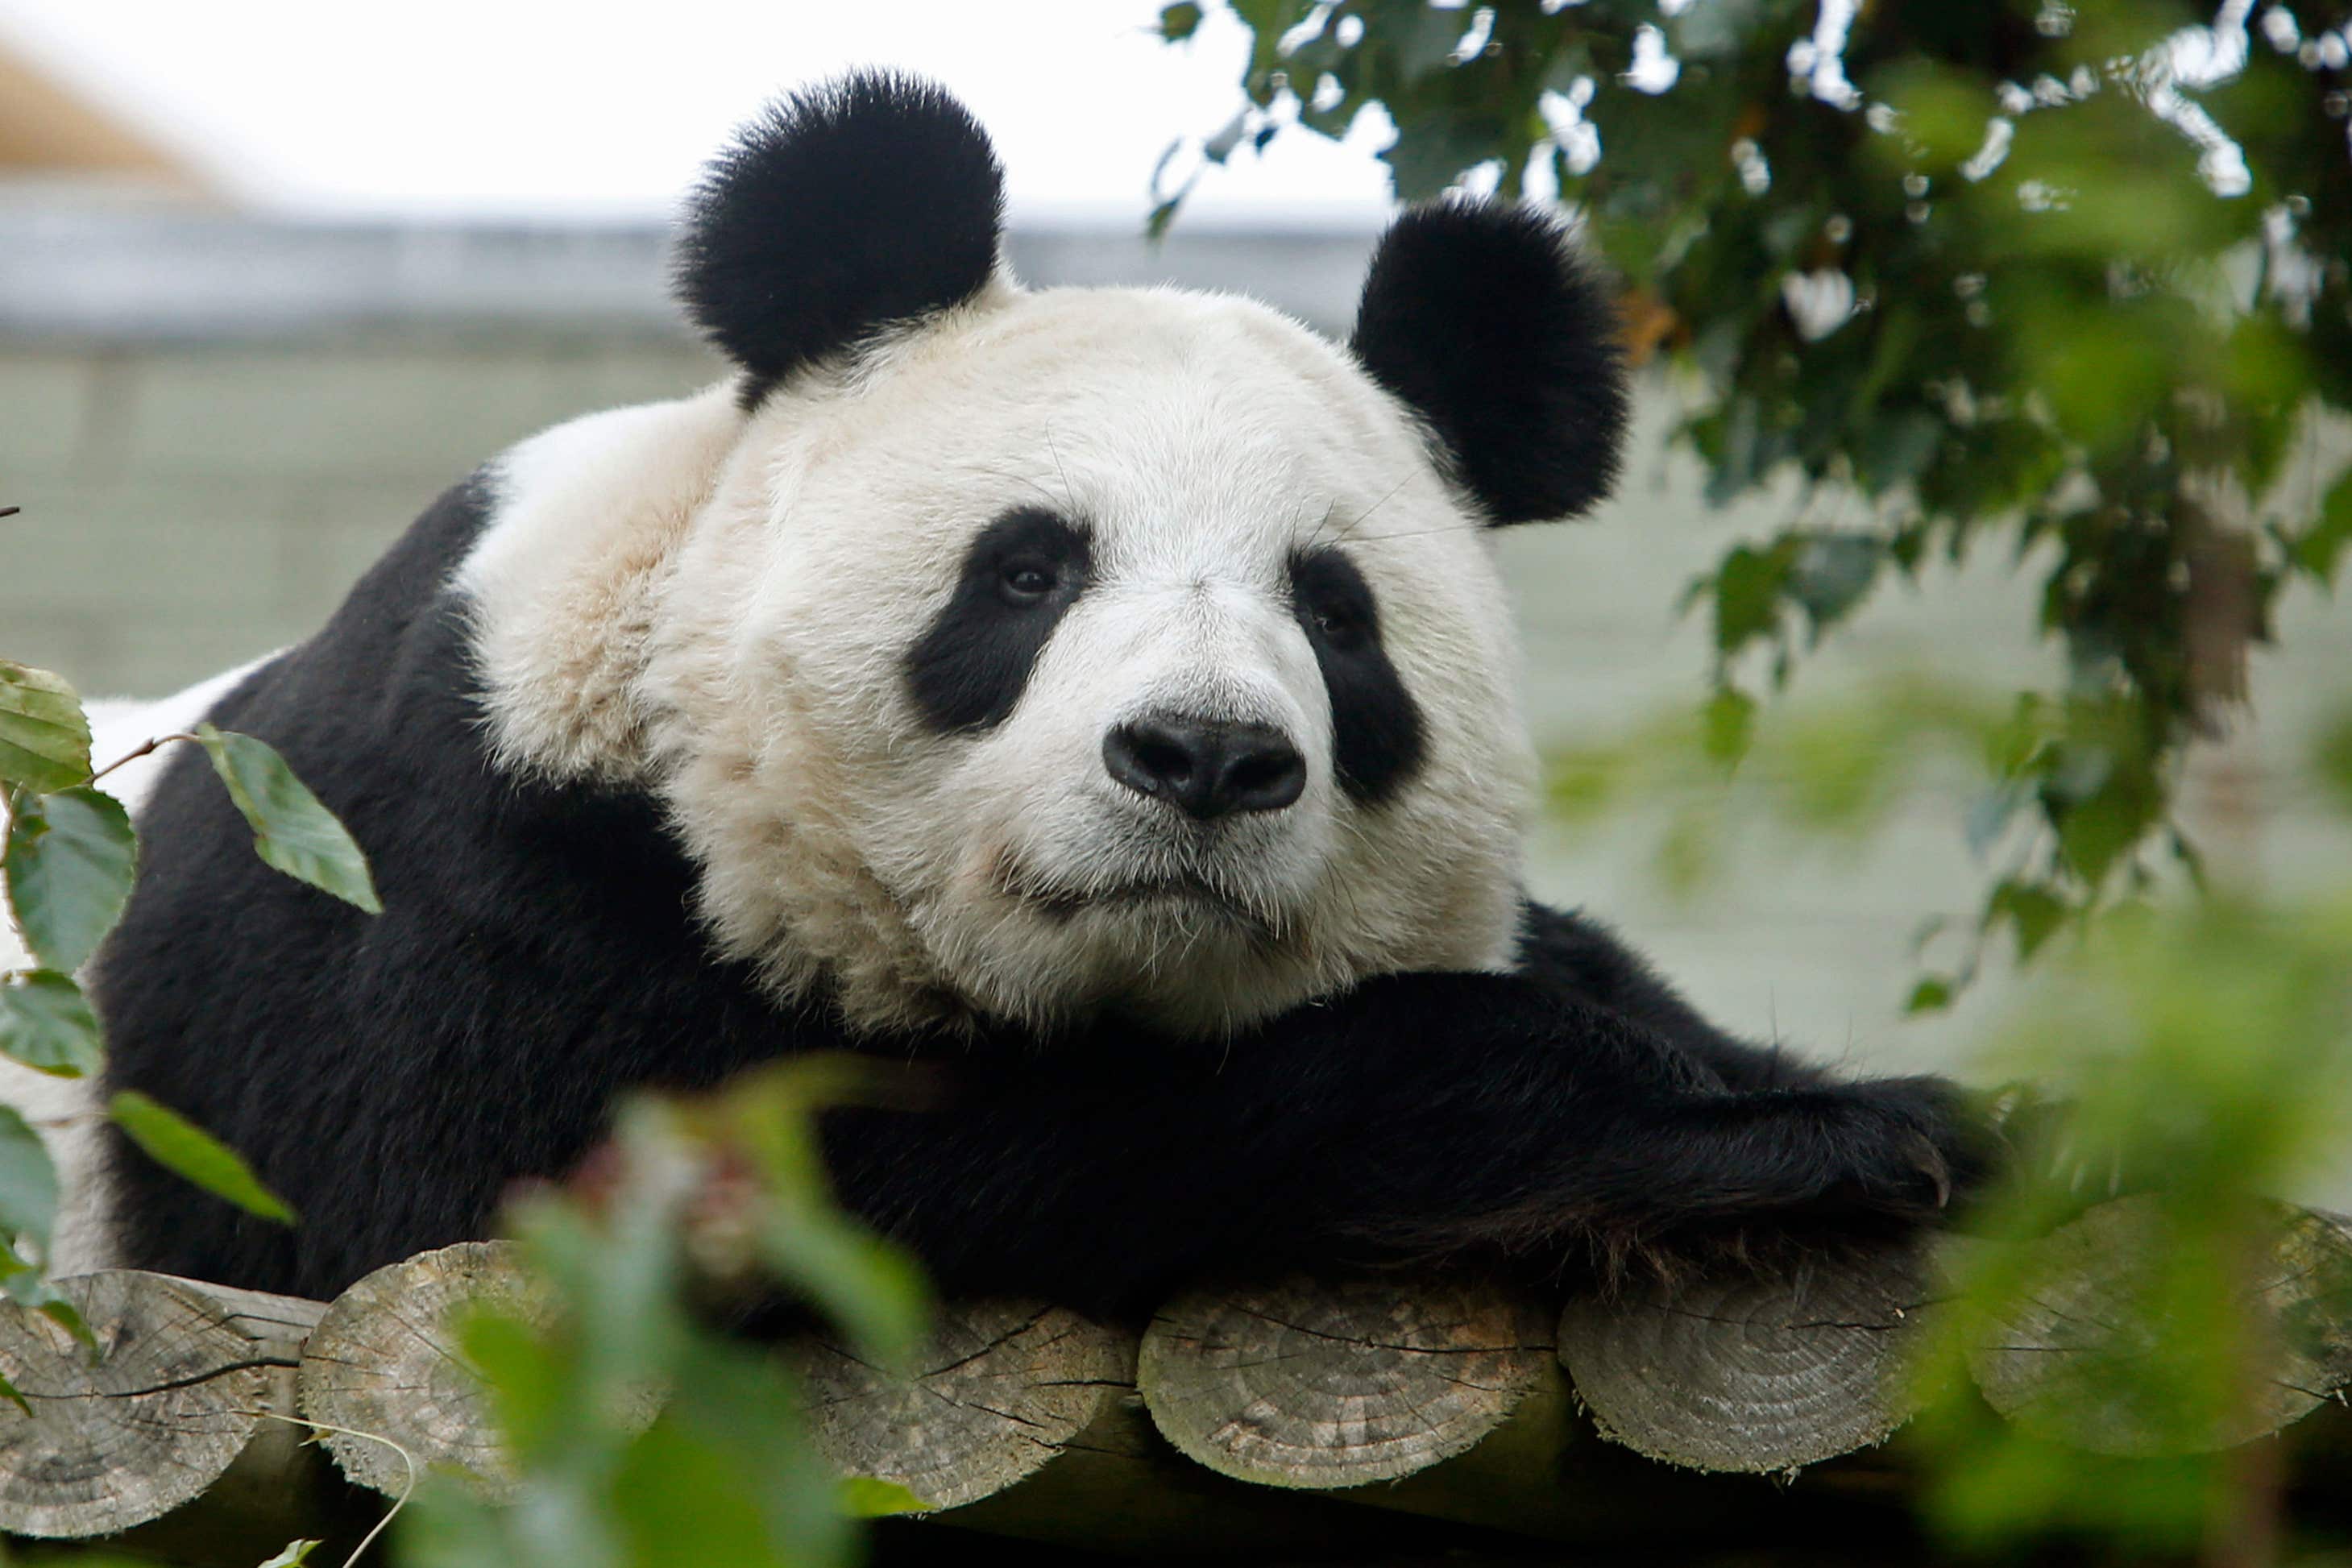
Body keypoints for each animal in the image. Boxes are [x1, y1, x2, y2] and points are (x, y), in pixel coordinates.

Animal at [36, 73, 1994, 1307]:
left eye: (1334, 615)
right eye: (1029, 571)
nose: (1202, 757)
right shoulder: (447, 887)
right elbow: (729, 1184)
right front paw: (1781, 1137)